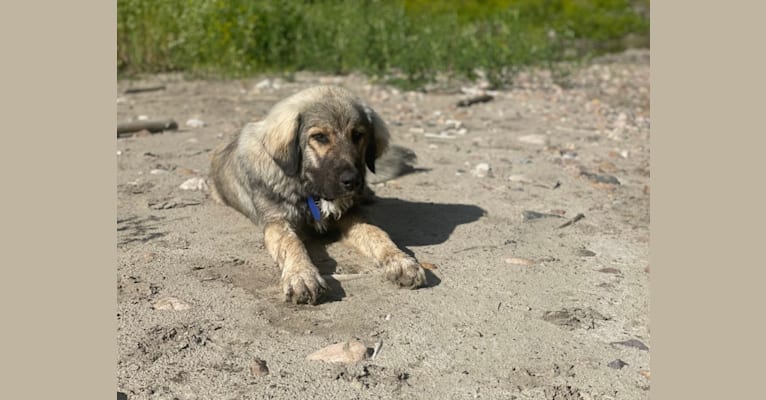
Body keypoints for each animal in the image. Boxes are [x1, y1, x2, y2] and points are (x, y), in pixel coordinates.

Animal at [208, 85, 426, 304]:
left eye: (357, 135)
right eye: (320, 137)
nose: (353, 181)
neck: (311, 192)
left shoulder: (351, 216)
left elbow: (377, 233)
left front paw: (401, 261)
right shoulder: (277, 222)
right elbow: (292, 243)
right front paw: (302, 275)